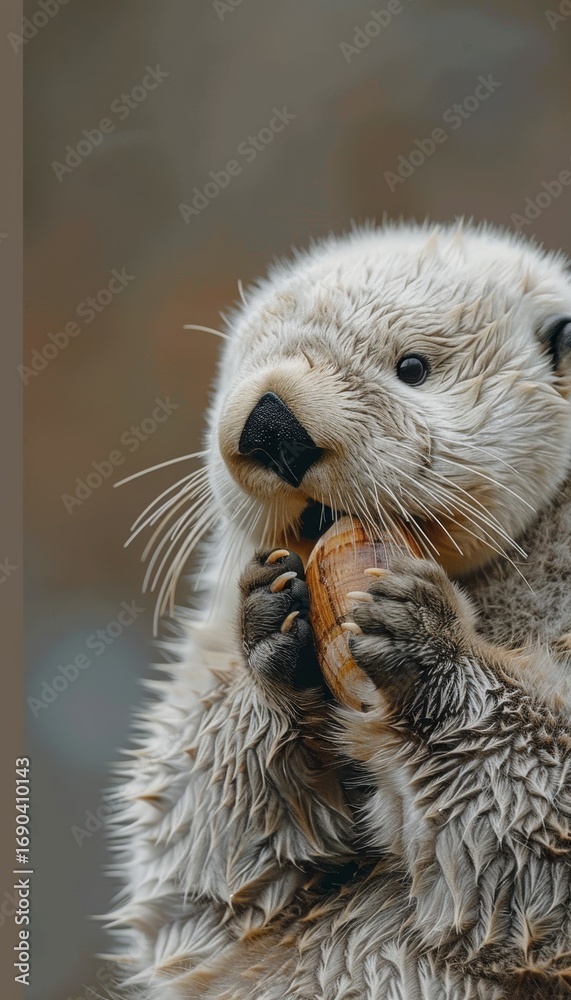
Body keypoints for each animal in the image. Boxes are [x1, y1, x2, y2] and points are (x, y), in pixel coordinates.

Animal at [107, 221, 571, 999]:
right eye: (240, 371)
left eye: (411, 366)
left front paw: (424, 645)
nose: (269, 421)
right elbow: (198, 862)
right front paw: (272, 625)